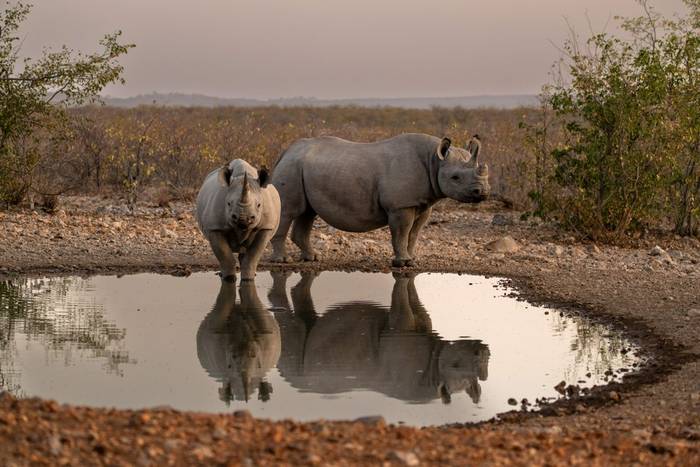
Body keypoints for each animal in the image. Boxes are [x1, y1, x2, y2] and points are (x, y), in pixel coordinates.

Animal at [270, 133, 490, 266]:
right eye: (455, 177)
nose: (483, 192)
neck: (434, 161)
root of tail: (287, 151)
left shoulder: (422, 204)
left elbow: (414, 234)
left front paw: (412, 259)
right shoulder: (401, 206)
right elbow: (402, 233)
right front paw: (402, 263)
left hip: (302, 168)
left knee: (307, 213)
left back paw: (313, 258)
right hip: (292, 167)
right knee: (288, 210)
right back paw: (282, 261)